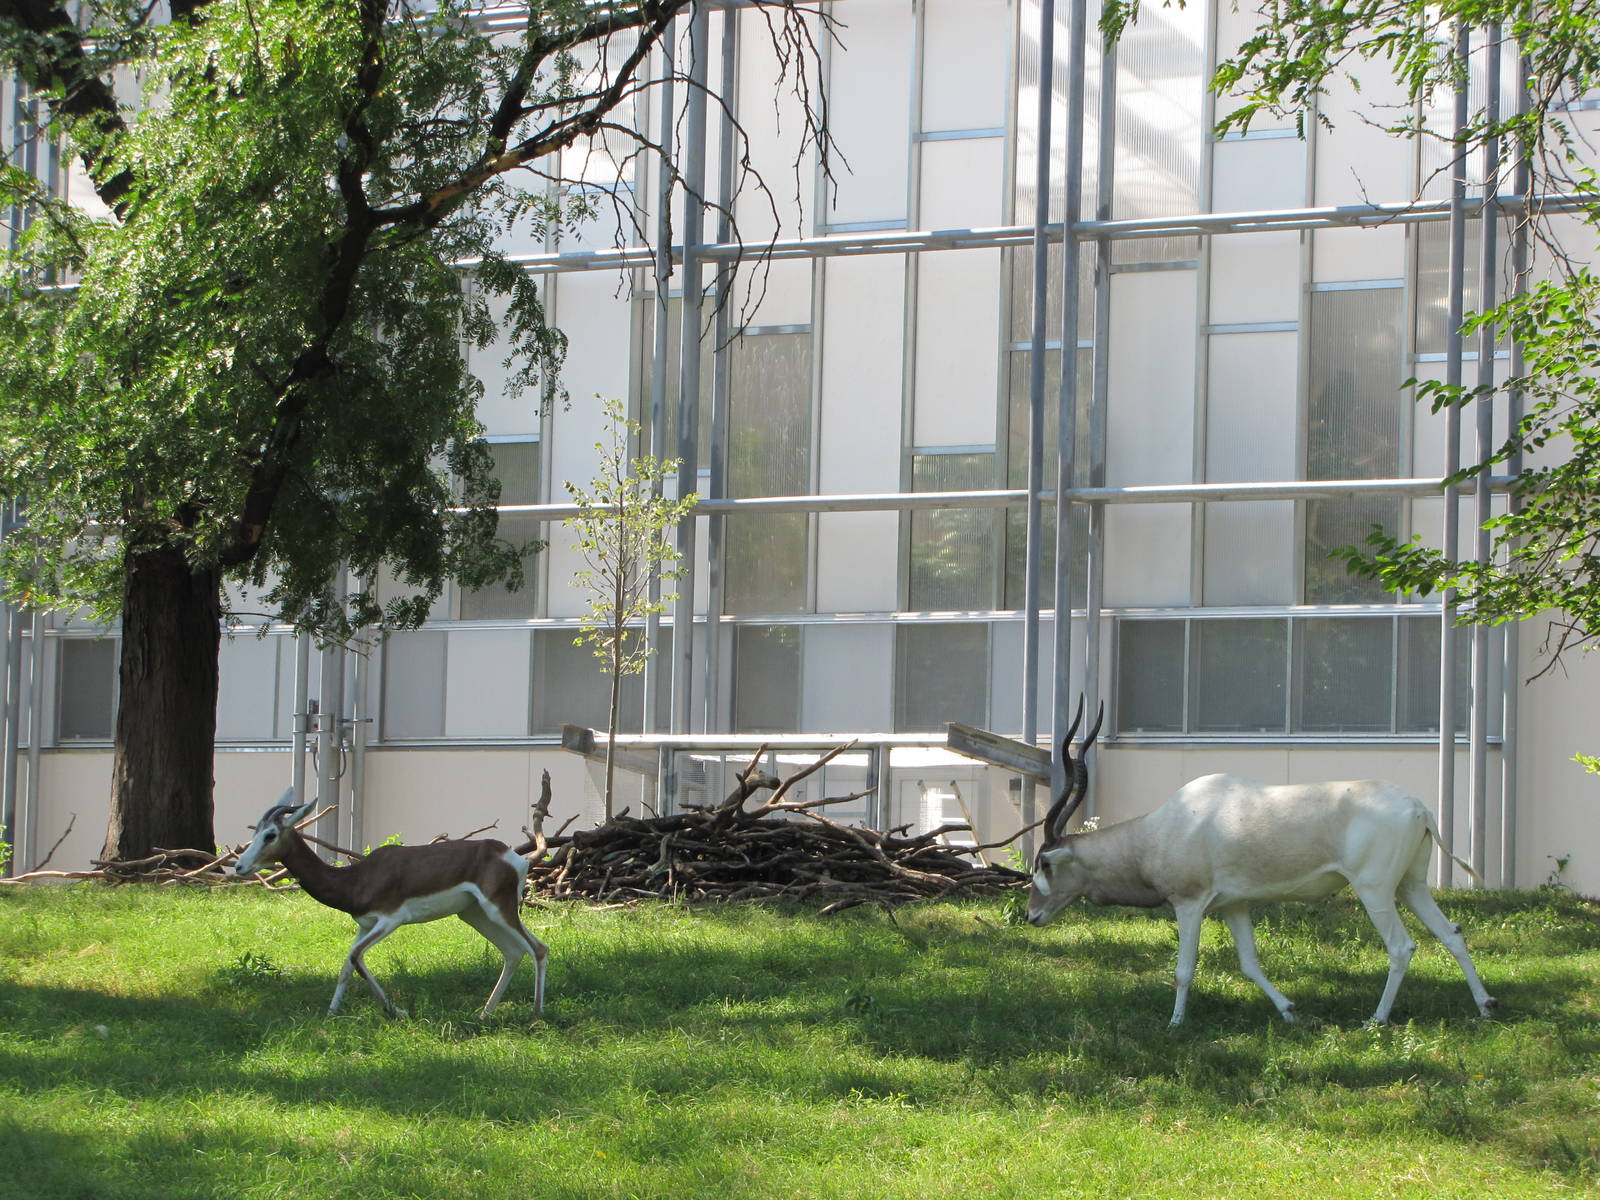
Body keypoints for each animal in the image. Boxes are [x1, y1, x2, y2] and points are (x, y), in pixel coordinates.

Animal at [232, 789, 550, 1018]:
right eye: (254, 832)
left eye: (270, 835)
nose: (239, 866)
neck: (356, 878)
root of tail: (514, 857)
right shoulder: (366, 924)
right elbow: (346, 965)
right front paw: (331, 1014)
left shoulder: (390, 920)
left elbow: (356, 958)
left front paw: (399, 1011)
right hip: (475, 914)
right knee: (513, 952)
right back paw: (484, 1013)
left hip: (499, 910)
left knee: (537, 948)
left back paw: (535, 1014)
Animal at [1026, 703, 1497, 1028]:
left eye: (1044, 863)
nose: (1031, 915)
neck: (1158, 830)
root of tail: (1418, 807)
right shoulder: (1234, 906)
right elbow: (1250, 963)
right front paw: (1289, 1010)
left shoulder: (1190, 904)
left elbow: (1184, 969)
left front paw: (1175, 1023)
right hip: (1411, 886)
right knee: (1451, 933)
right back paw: (1486, 1006)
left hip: (1375, 890)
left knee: (1401, 947)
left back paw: (1376, 1020)